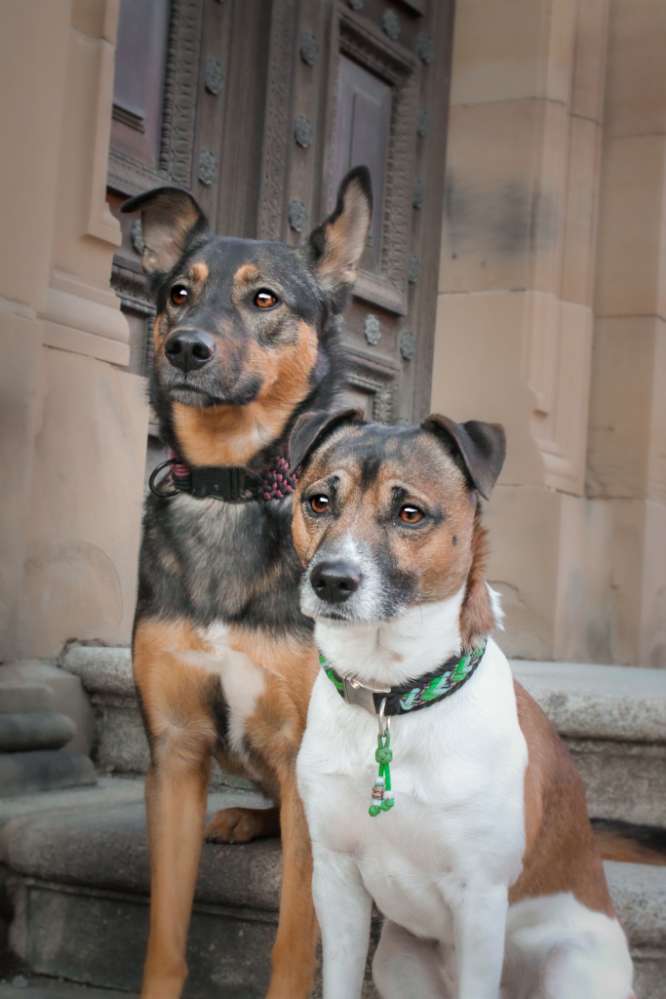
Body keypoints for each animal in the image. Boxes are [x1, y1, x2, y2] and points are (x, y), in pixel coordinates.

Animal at [122, 168, 370, 996]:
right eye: (176, 293)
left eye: (264, 298)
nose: (184, 348)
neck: (230, 486)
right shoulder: (175, 750)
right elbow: (163, 936)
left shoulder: (305, 759)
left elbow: (294, 940)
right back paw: (240, 818)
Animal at [290, 408, 632, 999]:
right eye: (319, 501)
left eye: (409, 512)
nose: (330, 579)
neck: (391, 698)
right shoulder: (336, 881)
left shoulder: (480, 898)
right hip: (396, 959)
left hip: (572, 967)